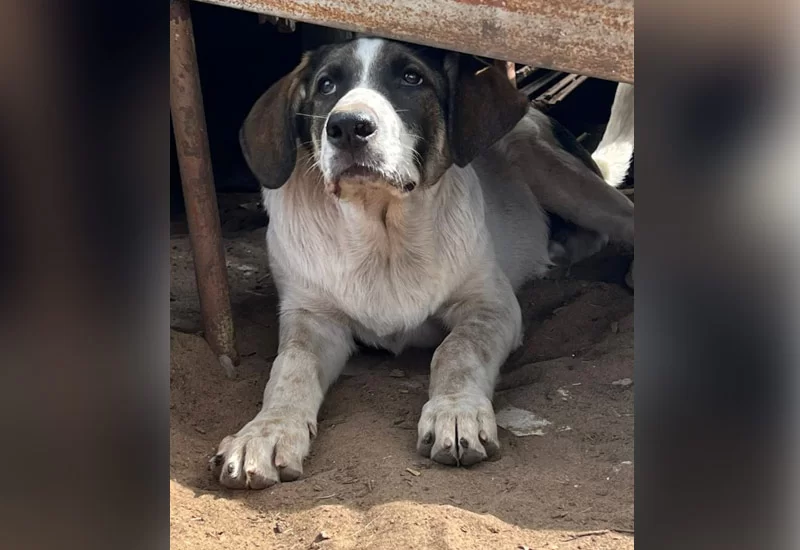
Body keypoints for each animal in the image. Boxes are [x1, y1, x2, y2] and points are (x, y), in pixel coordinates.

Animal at [209, 37, 636, 492]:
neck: (384, 236)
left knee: (622, 217)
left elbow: (457, 349)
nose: (347, 126)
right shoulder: (311, 316)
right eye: (326, 85)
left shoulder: (490, 305)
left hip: (551, 169)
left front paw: (456, 411)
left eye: (411, 77)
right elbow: (290, 368)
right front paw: (265, 431)